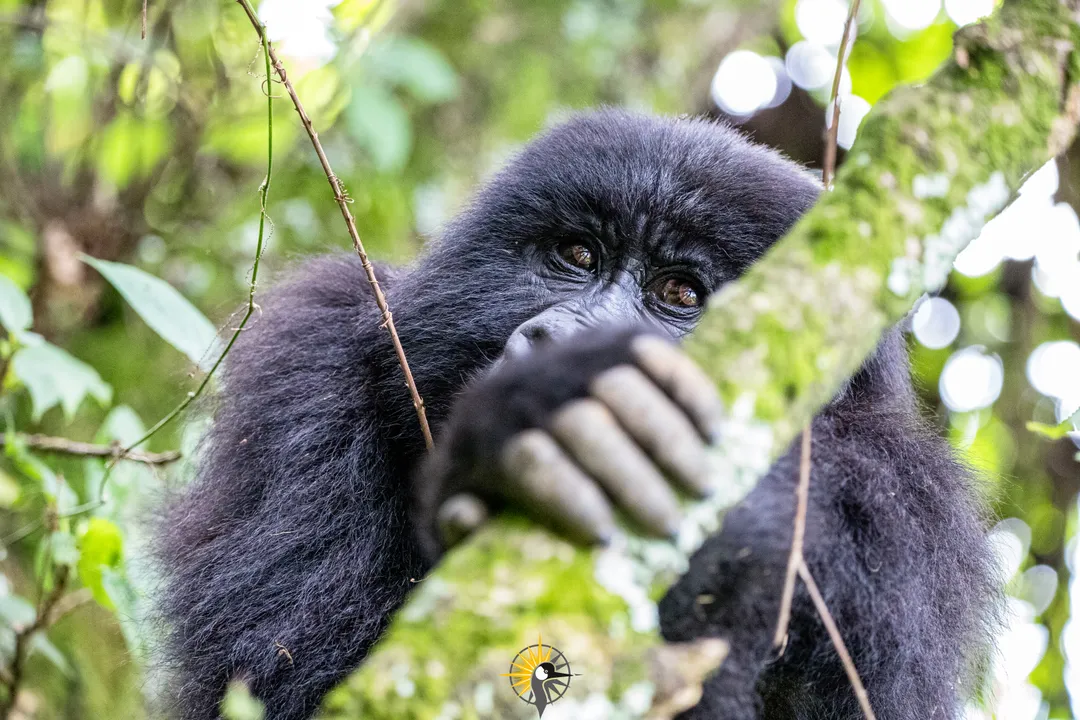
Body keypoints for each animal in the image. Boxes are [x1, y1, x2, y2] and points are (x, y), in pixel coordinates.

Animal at [157, 111, 993, 720]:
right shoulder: (312, 360)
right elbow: (292, 678)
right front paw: (533, 410)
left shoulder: (904, 518)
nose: (562, 339)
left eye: (681, 294)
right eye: (578, 255)